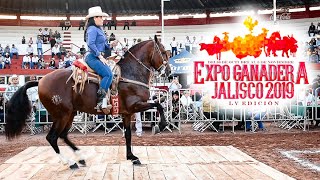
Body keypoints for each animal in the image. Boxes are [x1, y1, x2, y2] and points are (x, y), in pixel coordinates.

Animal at [4, 36, 170, 169]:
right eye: (163, 51)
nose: (168, 72)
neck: (130, 74)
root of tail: (40, 81)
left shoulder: (127, 113)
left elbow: (128, 135)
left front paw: (132, 157)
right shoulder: (135, 106)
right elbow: (158, 105)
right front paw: (161, 125)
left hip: (70, 114)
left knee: (63, 135)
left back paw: (80, 157)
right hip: (61, 115)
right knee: (52, 137)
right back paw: (70, 162)